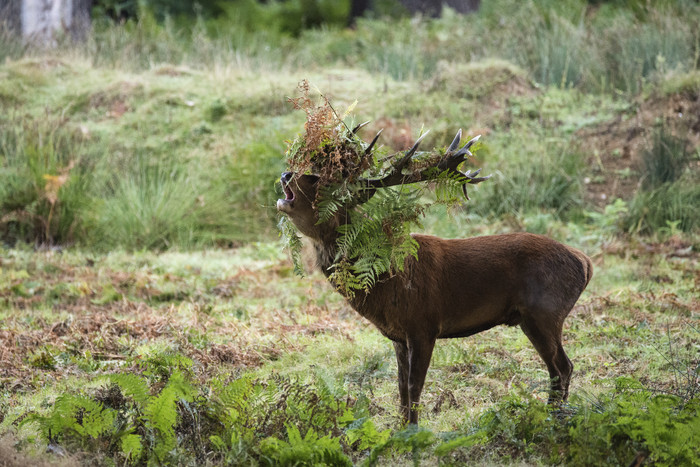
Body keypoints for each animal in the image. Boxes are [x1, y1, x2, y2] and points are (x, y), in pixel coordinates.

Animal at [276, 130, 592, 426]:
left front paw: (414, 431)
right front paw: (400, 429)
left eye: (319, 183)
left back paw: (554, 418)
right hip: (532, 318)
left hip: (545, 312)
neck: (386, 285)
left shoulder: (424, 324)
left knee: (563, 367)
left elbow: (414, 386)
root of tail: (585, 263)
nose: (285, 174)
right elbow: (401, 389)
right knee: (557, 368)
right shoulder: (398, 335)